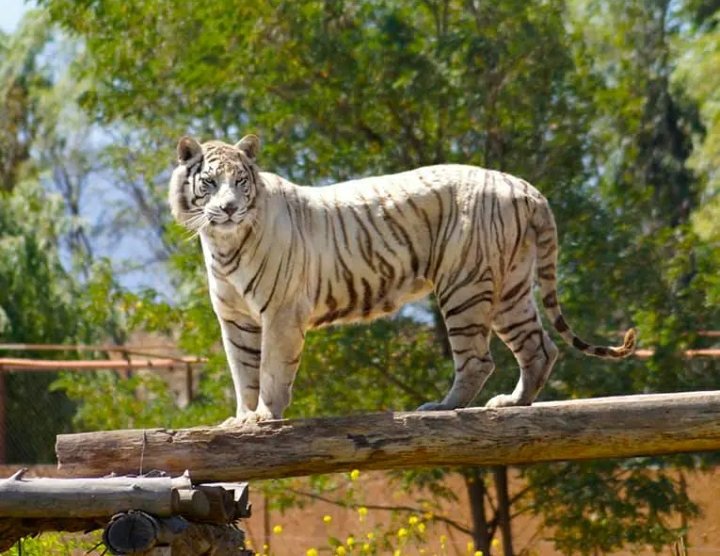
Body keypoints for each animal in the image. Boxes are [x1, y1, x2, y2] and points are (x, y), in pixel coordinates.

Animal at [169, 135, 636, 426]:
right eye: (209, 182)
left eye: (240, 181)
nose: (229, 208)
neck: (223, 244)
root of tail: (525, 186)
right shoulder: (236, 319)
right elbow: (242, 371)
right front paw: (241, 418)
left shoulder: (282, 313)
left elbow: (269, 368)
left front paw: (265, 415)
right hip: (510, 289)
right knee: (540, 348)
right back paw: (513, 402)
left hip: (465, 286)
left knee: (477, 358)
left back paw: (442, 407)